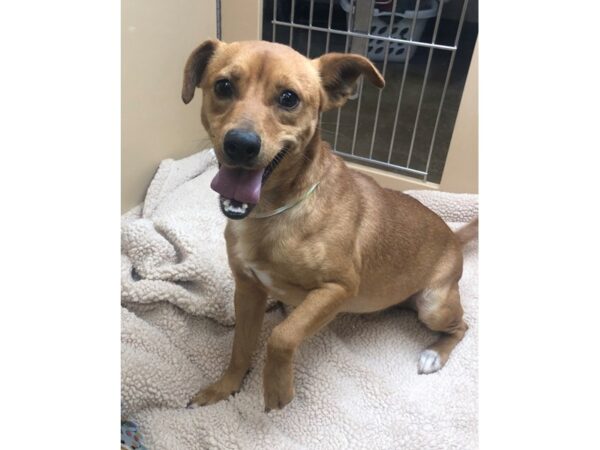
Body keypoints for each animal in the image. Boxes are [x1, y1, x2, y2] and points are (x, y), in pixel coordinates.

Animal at [183, 39, 478, 412]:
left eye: (289, 98)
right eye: (223, 86)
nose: (240, 144)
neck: (274, 212)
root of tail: (454, 237)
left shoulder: (338, 288)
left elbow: (282, 335)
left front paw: (277, 387)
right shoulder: (248, 289)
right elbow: (240, 348)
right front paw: (224, 387)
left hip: (434, 305)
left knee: (463, 326)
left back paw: (434, 354)